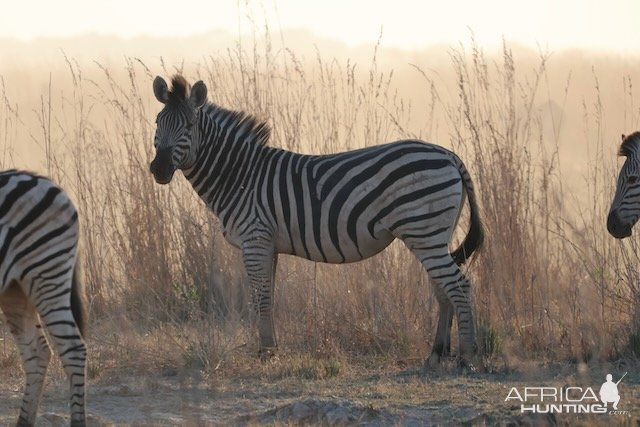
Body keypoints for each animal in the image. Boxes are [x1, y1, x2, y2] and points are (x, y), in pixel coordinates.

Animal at [151, 76, 484, 368]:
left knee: (459, 286)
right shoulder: (268, 245)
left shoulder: (255, 239)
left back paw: (467, 356)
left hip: (424, 231)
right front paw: (271, 347)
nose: (159, 169)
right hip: (433, 235)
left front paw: (266, 353)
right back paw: (436, 354)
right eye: (157, 123)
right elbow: (268, 296)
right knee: (443, 289)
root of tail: (451, 155)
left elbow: (261, 297)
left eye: (189, 126)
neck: (240, 175)